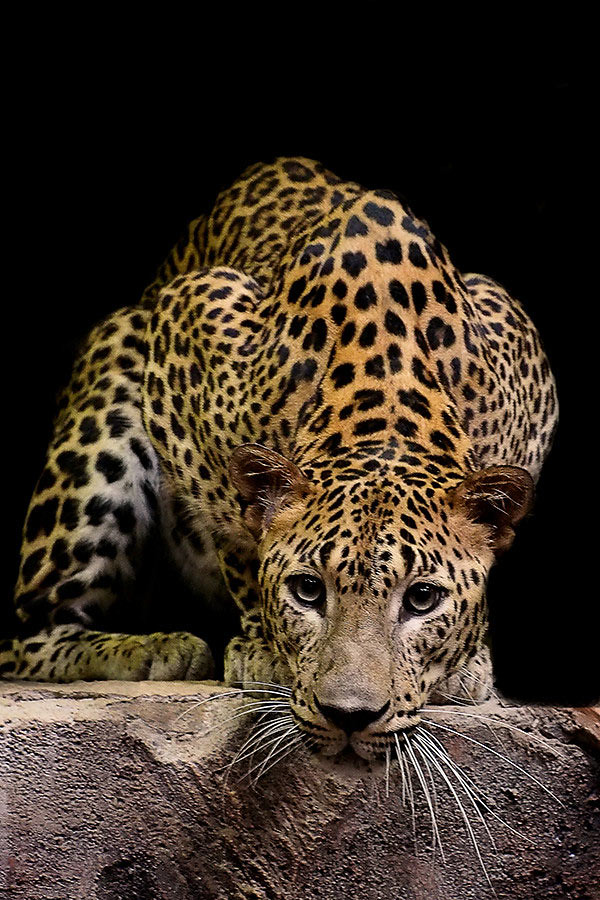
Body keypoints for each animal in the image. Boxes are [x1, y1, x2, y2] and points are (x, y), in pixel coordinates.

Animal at [2, 156, 557, 760]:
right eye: (308, 590)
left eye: (422, 599)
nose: (350, 716)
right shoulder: (187, 316)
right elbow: (236, 531)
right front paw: (264, 647)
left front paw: (468, 660)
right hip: (115, 372)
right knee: (28, 634)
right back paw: (156, 649)